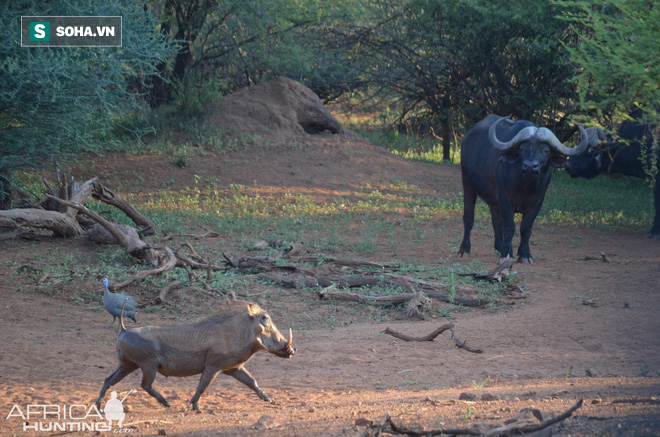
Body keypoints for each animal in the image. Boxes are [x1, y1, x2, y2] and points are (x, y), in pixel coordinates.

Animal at [458, 114, 588, 260]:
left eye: (546, 151)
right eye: (522, 149)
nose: (530, 166)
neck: (526, 186)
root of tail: (467, 138)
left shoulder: (537, 202)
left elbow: (526, 228)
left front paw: (525, 254)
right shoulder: (505, 199)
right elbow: (509, 227)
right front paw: (507, 253)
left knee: (495, 220)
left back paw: (499, 247)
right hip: (467, 182)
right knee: (469, 217)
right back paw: (465, 248)